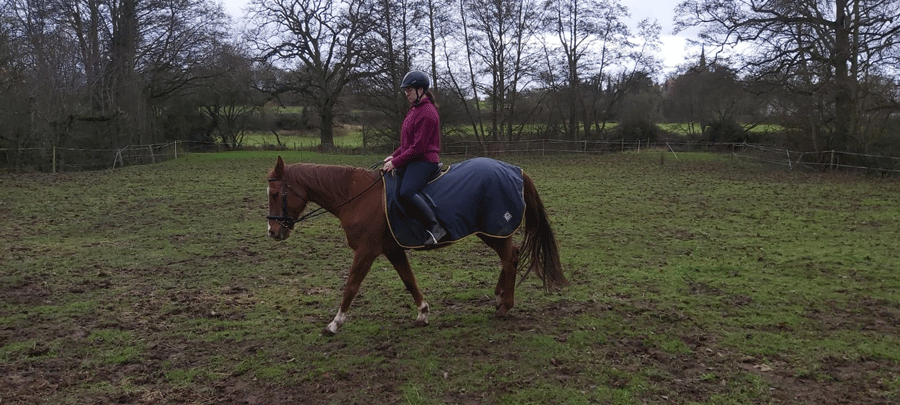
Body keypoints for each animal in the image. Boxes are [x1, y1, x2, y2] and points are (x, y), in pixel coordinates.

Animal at [264, 155, 568, 334]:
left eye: (276, 193)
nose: (273, 231)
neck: (357, 196)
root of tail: (515, 170)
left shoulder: (366, 251)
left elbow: (351, 286)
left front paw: (335, 323)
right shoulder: (392, 249)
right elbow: (409, 281)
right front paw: (422, 313)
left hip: (494, 230)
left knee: (510, 258)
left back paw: (505, 305)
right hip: (491, 232)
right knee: (509, 257)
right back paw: (499, 297)